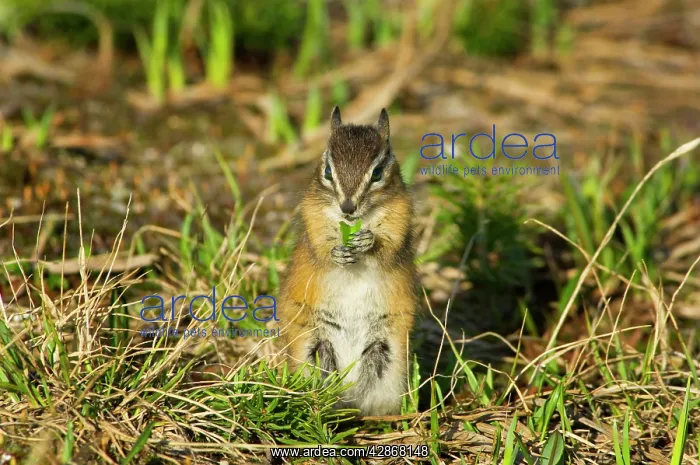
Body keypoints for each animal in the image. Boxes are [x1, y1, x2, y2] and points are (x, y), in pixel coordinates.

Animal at [278, 106, 418, 416]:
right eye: (328, 171)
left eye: (377, 172)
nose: (347, 207)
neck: (356, 222)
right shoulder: (313, 219)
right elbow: (320, 248)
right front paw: (337, 253)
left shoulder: (401, 220)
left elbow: (388, 248)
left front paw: (368, 242)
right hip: (314, 349)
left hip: (384, 354)